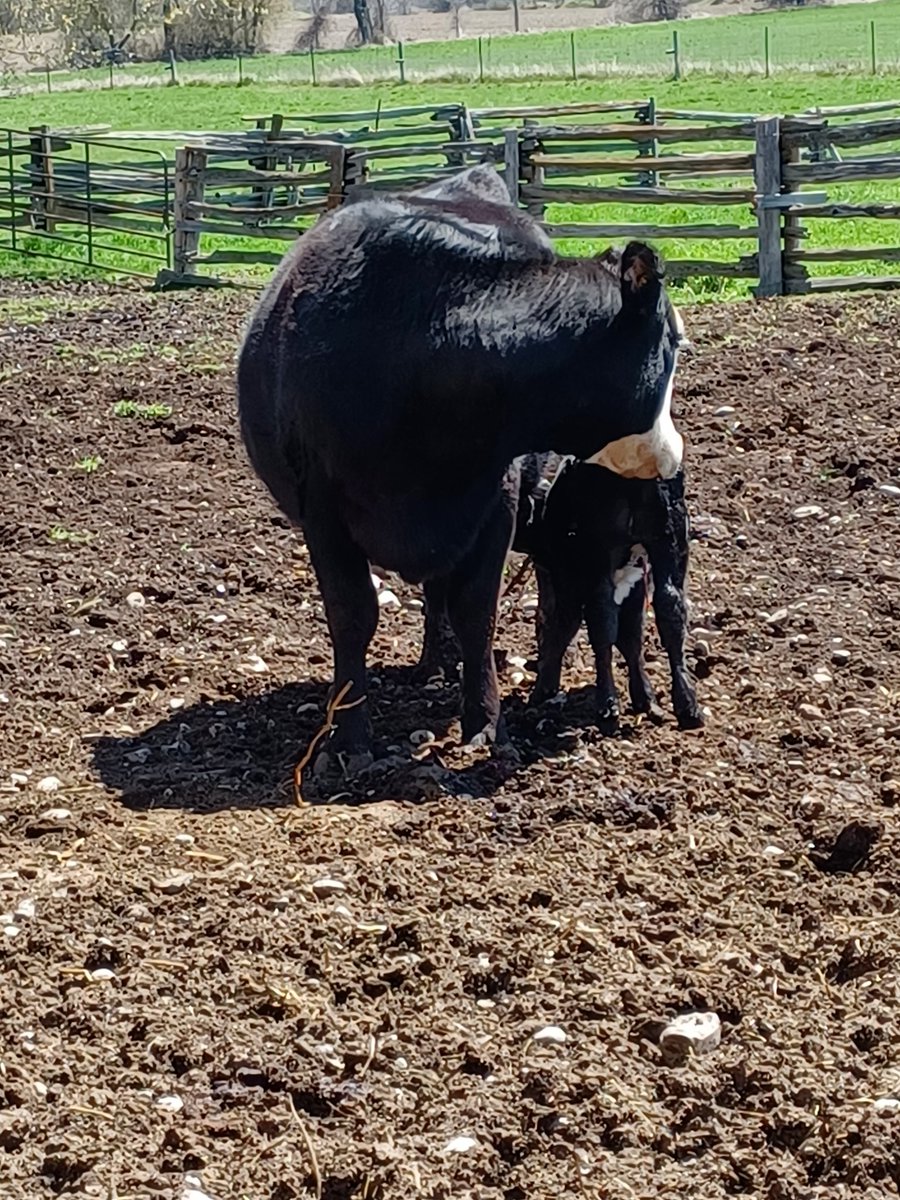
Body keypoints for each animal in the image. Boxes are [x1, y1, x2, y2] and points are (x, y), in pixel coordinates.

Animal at [237, 165, 685, 778]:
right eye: (673, 345)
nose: (673, 455)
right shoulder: (321, 509)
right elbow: (351, 615)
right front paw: (348, 738)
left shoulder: (493, 500)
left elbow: (476, 610)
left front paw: (486, 725)